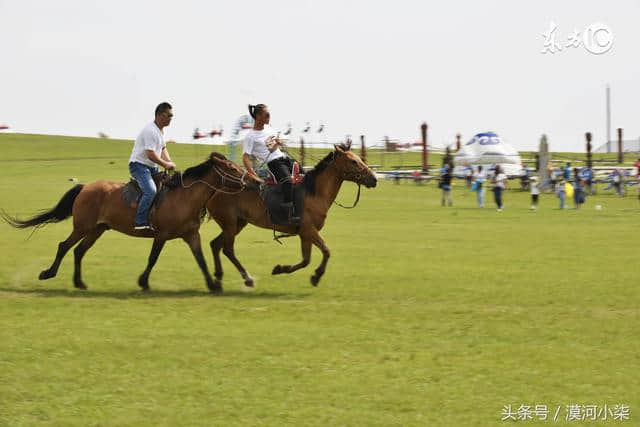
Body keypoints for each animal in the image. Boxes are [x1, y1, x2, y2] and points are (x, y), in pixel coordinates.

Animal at [4, 153, 260, 294]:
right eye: (232, 168)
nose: (253, 181)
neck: (184, 197)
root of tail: (85, 187)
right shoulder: (161, 235)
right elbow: (153, 258)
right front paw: (143, 282)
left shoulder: (191, 235)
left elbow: (201, 260)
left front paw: (213, 284)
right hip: (82, 227)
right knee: (64, 246)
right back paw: (48, 273)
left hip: (97, 229)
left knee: (78, 251)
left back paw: (80, 282)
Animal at [206, 142, 376, 290]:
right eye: (353, 161)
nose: (374, 179)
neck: (314, 193)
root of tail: (217, 190)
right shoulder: (309, 230)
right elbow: (326, 251)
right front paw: (317, 276)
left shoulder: (305, 234)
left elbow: (306, 260)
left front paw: (280, 269)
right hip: (229, 224)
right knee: (227, 249)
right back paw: (246, 279)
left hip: (238, 224)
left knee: (215, 245)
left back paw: (218, 280)